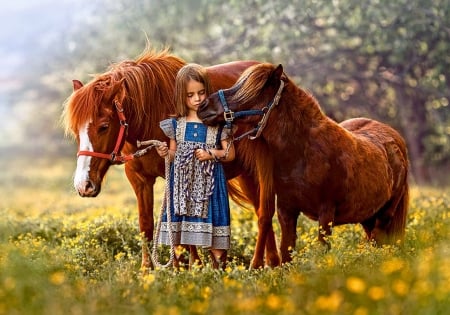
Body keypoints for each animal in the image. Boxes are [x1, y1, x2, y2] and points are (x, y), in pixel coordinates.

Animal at [62, 48, 282, 270]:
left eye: (104, 126)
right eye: (75, 130)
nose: (83, 186)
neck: (151, 115)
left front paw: (189, 266)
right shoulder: (140, 180)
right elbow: (146, 224)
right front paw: (149, 269)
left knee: (264, 212)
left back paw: (264, 264)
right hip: (246, 175)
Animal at [199, 62, 410, 264]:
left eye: (252, 92)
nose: (203, 106)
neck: (303, 154)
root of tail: (396, 139)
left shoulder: (326, 214)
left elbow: (322, 249)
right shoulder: (286, 211)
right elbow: (286, 253)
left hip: (384, 216)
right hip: (367, 217)